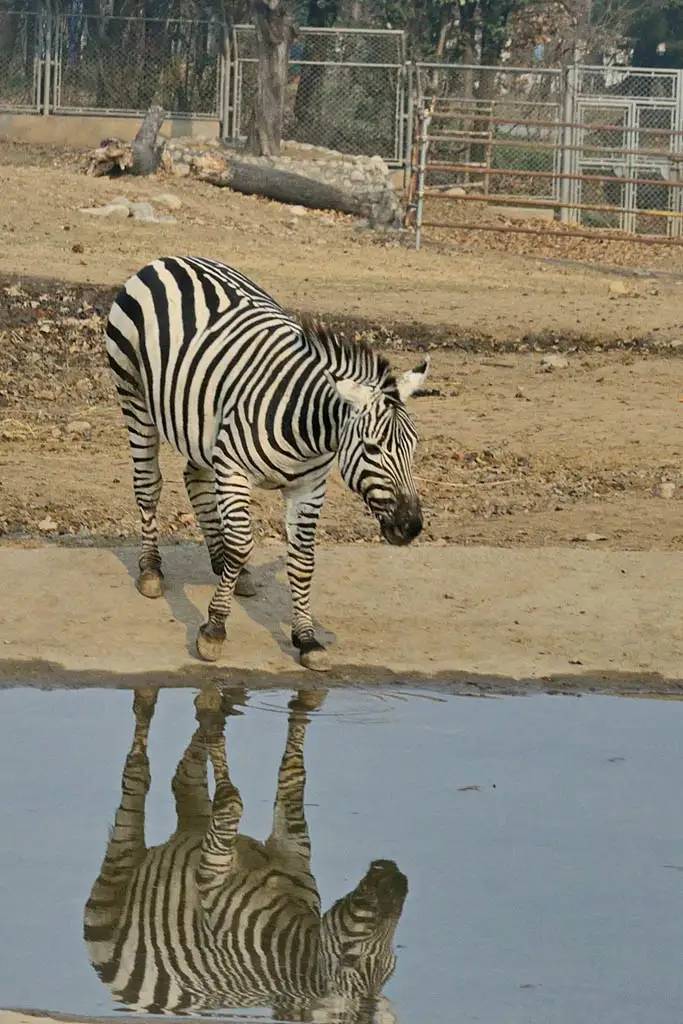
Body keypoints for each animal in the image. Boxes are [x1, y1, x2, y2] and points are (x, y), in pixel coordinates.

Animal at [83, 688, 409, 1024]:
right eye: (350, 958)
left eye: (390, 967)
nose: (399, 879)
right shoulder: (211, 880)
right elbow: (232, 801)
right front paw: (214, 714)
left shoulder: (292, 848)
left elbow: (293, 776)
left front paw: (297, 703)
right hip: (115, 880)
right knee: (137, 772)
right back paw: (161, 704)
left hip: (194, 823)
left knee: (183, 777)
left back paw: (226, 703)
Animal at [104, 256, 430, 667]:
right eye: (372, 449)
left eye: (413, 447)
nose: (411, 526)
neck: (308, 428)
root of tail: (168, 259)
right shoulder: (233, 470)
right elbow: (243, 543)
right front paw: (214, 629)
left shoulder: (309, 488)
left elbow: (303, 558)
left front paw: (307, 638)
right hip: (134, 396)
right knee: (149, 482)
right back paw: (151, 569)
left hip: (202, 425)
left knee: (195, 479)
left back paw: (228, 568)